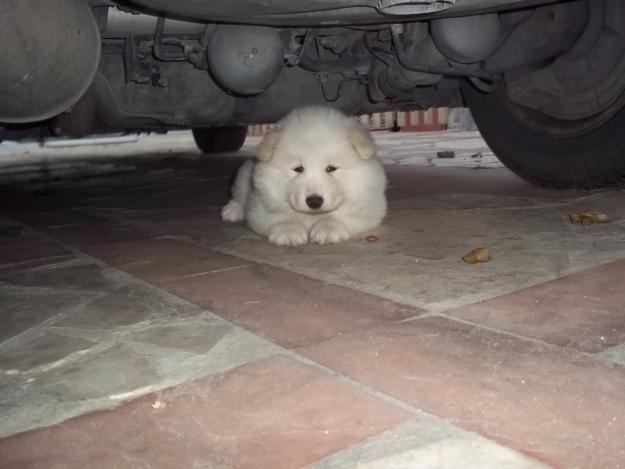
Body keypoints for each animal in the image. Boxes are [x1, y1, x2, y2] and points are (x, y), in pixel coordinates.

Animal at [219, 105, 386, 245]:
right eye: (298, 169)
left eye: (331, 168)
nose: (314, 201)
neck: (311, 217)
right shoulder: (260, 208)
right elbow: (280, 216)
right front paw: (289, 231)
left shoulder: (370, 207)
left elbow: (340, 214)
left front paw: (327, 228)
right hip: (245, 174)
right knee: (238, 195)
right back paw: (232, 211)